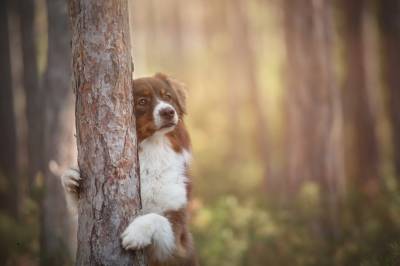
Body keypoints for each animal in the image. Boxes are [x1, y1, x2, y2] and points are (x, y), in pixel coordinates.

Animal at [61, 72, 198, 266]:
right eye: (142, 101)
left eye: (168, 97)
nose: (168, 111)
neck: (154, 147)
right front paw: (70, 179)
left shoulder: (177, 239)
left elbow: (157, 217)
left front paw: (136, 232)